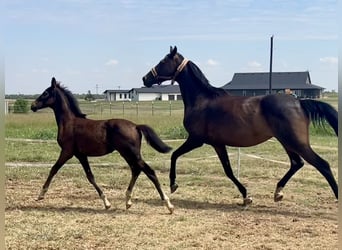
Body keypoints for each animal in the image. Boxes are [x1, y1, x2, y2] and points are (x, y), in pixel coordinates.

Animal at [31, 77, 175, 213]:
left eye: (45, 93)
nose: (33, 106)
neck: (69, 123)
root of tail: (135, 126)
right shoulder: (80, 154)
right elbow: (90, 176)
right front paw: (106, 202)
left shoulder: (67, 152)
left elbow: (53, 169)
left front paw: (41, 194)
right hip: (127, 154)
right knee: (136, 170)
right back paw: (128, 201)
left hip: (131, 154)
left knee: (149, 172)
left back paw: (168, 205)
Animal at [143, 46, 338, 205]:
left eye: (163, 61)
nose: (145, 78)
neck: (202, 100)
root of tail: (300, 102)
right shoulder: (217, 144)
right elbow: (228, 170)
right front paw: (246, 196)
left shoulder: (196, 140)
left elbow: (174, 155)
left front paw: (173, 184)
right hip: (287, 142)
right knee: (297, 163)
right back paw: (277, 193)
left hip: (296, 142)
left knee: (323, 165)